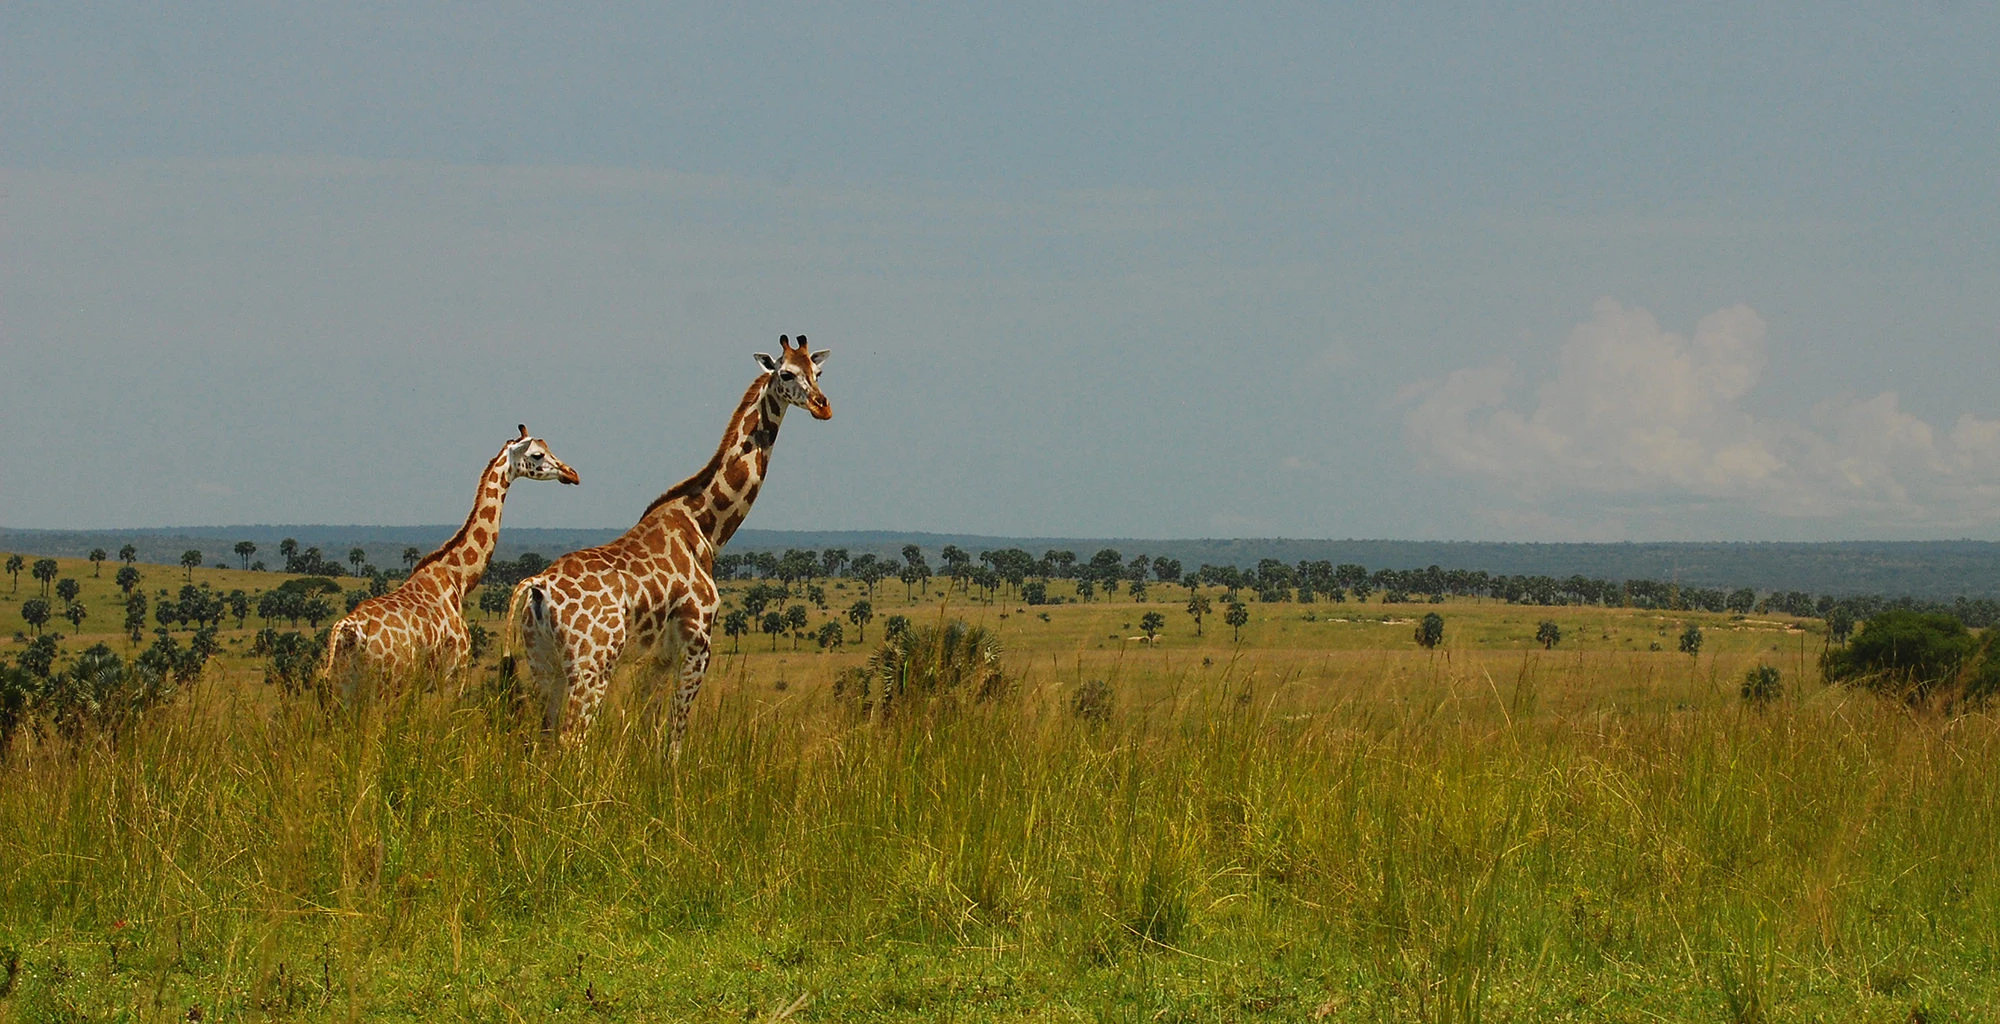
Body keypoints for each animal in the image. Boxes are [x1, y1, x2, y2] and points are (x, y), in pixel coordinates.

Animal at [324, 425, 580, 695]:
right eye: (537, 454)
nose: (572, 474)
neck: (459, 577)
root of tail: (345, 631)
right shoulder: (454, 670)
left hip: (344, 685)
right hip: (385, 681)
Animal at [506, 334, 831, 756]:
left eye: (818, 371)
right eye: (786, 373)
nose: (822, 406)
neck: (705, 527)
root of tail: (539, 587)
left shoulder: (659, 657)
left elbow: (649, 729)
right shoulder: (698, 641)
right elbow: (676, 736)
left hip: (544, 663)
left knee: (545, 738)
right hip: (592, 663)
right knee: (571, 738)